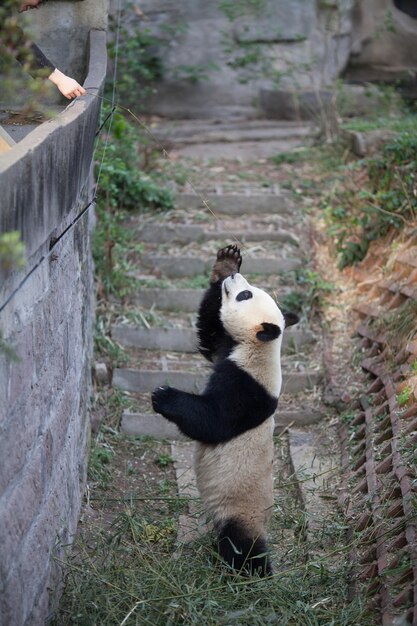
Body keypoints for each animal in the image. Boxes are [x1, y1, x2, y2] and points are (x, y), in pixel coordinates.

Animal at [151, 244, 298, 576]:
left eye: (246, 295)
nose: (233, 279)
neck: (258, 348)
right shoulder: (226, 347)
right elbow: (209, 330)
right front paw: (227, 262)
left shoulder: (249, 387)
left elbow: (214, 420)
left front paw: (163, 395)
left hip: (241, 509)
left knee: (241, 543)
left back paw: (254, 572)